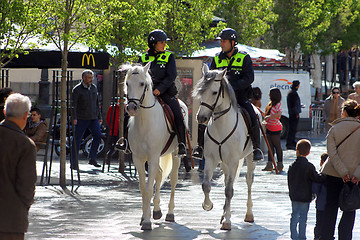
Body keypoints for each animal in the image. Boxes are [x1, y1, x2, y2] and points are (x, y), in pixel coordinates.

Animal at [121, 62, 188, 231]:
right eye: (127, 83)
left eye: (142, 83)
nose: (131, 108)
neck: (144, 122)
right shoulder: (138, 159)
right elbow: (143, 188)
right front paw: (144, 217)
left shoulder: (152, 157)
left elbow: (149, 188)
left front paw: (146, 221)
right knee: (159, 174)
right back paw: (157, 211)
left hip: (174, 154)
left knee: (173, 180)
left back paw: (170, 213)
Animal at [194, 63, 258, 231]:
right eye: (201, 91)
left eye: (214, 92)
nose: (201, 117)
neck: (221, 125)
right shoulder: (211, 159)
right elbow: (206, 185)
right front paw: (208, 205)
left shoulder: (234, 161)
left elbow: (229, 191)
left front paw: (227, 221)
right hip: (224, 162)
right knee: (226, 180)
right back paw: (223, 213)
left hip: (249, 158)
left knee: (249, 181)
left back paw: (249, 214)